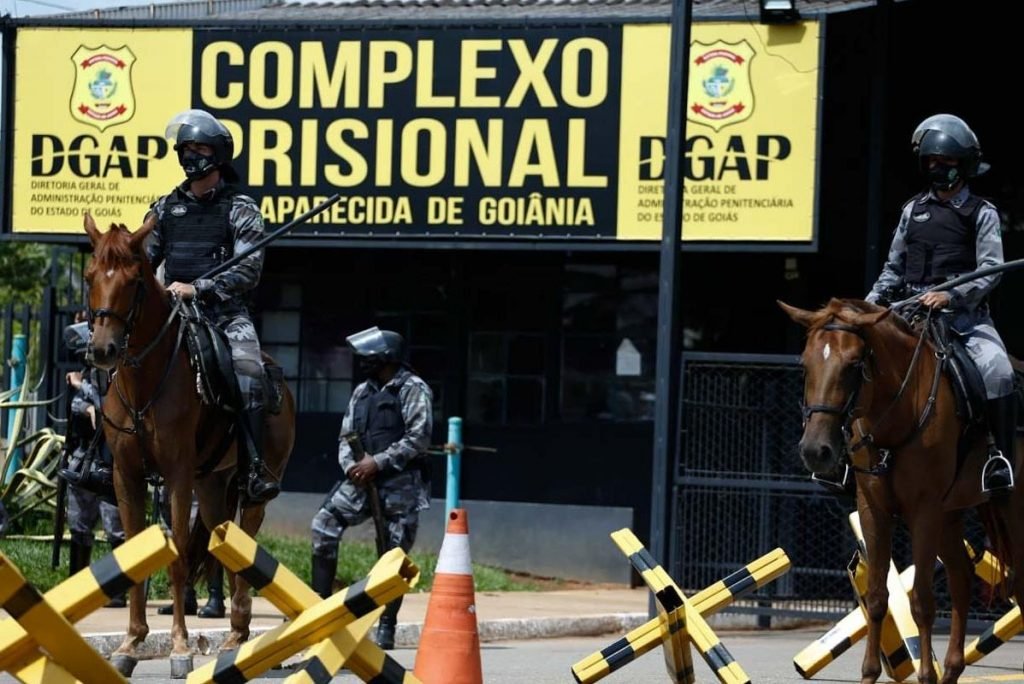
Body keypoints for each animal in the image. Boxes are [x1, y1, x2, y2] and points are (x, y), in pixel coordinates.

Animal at [82, 215, 296, 679]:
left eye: (133, 280)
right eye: (90, 276)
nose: (103, 350)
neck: (144, 381)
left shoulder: (177, 476)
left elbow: (178, 557)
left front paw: (180, 649)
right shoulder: (127, 478)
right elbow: (134, 557)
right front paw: (130, 645)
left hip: (253, 491)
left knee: (243, 540)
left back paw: (237, 632)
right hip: (212, 486)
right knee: (224, 541)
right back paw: (235, 633)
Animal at [778, 296, 1019, 684]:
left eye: (854, 364)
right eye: (805, 363)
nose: (816, 450)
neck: (899, 416)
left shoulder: (924, 513)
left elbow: (921, 601)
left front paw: (926, 676)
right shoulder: (873, 510)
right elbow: (877, 598)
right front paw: (869, 674)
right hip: (951, 517)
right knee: (961, 578)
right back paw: (952, 669)